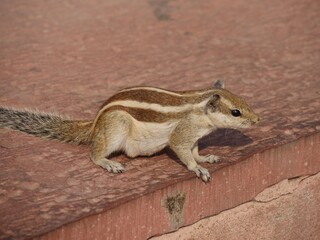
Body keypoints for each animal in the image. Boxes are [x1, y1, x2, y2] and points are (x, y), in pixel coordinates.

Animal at [0, 80, 258, 182]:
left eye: (245, 101)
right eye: (236, 112)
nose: (257, 120)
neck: (198, 106)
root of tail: (95, 124)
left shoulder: (192, 136)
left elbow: (194, 150)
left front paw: (205, 158)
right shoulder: (181, 134)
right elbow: (182, 152)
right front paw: (197, 168)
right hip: (117, 126)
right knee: (93, 153)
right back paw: (108, 163)